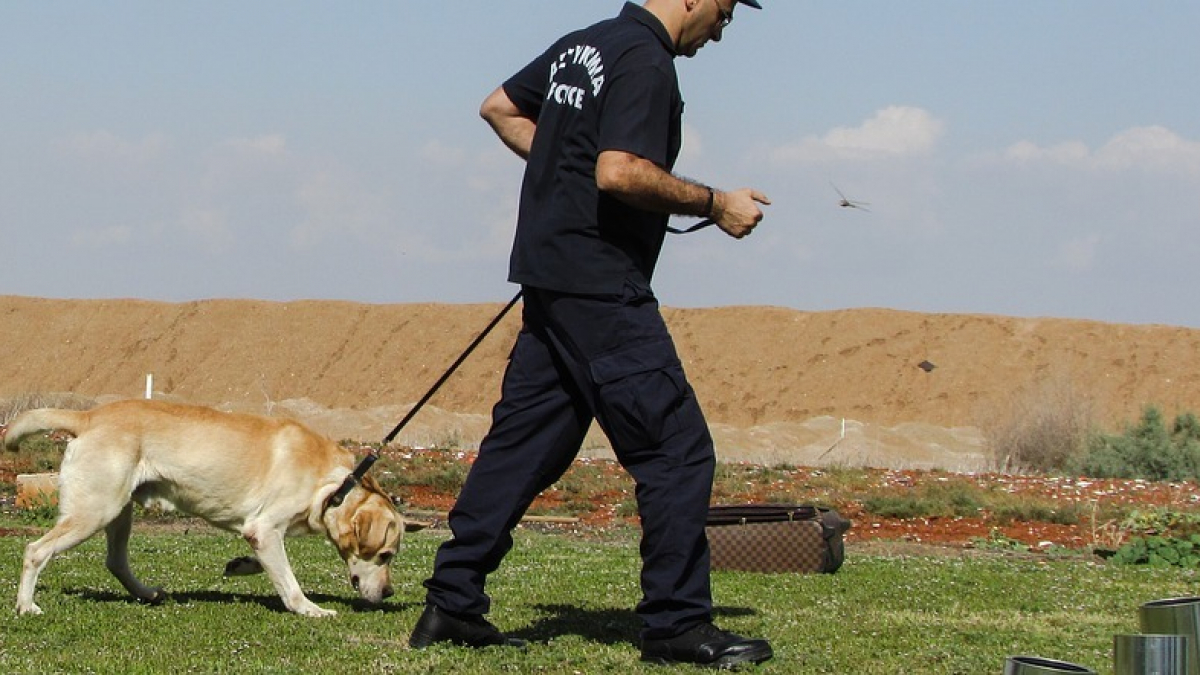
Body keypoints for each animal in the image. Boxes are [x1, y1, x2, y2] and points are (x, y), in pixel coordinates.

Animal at [2, 398, 405, 614]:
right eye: (386, 555)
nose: (389, 593)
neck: (337, 484)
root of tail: (88, 416)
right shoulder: (264, 528)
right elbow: (289, 583)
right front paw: (309, 609)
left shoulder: (261, 534)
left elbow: (270, 563)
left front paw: (243, 565)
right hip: (95, 511)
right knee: (35, 550)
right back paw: (26, 605)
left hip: (119, 511)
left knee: (115, 561)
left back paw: (146, 593)